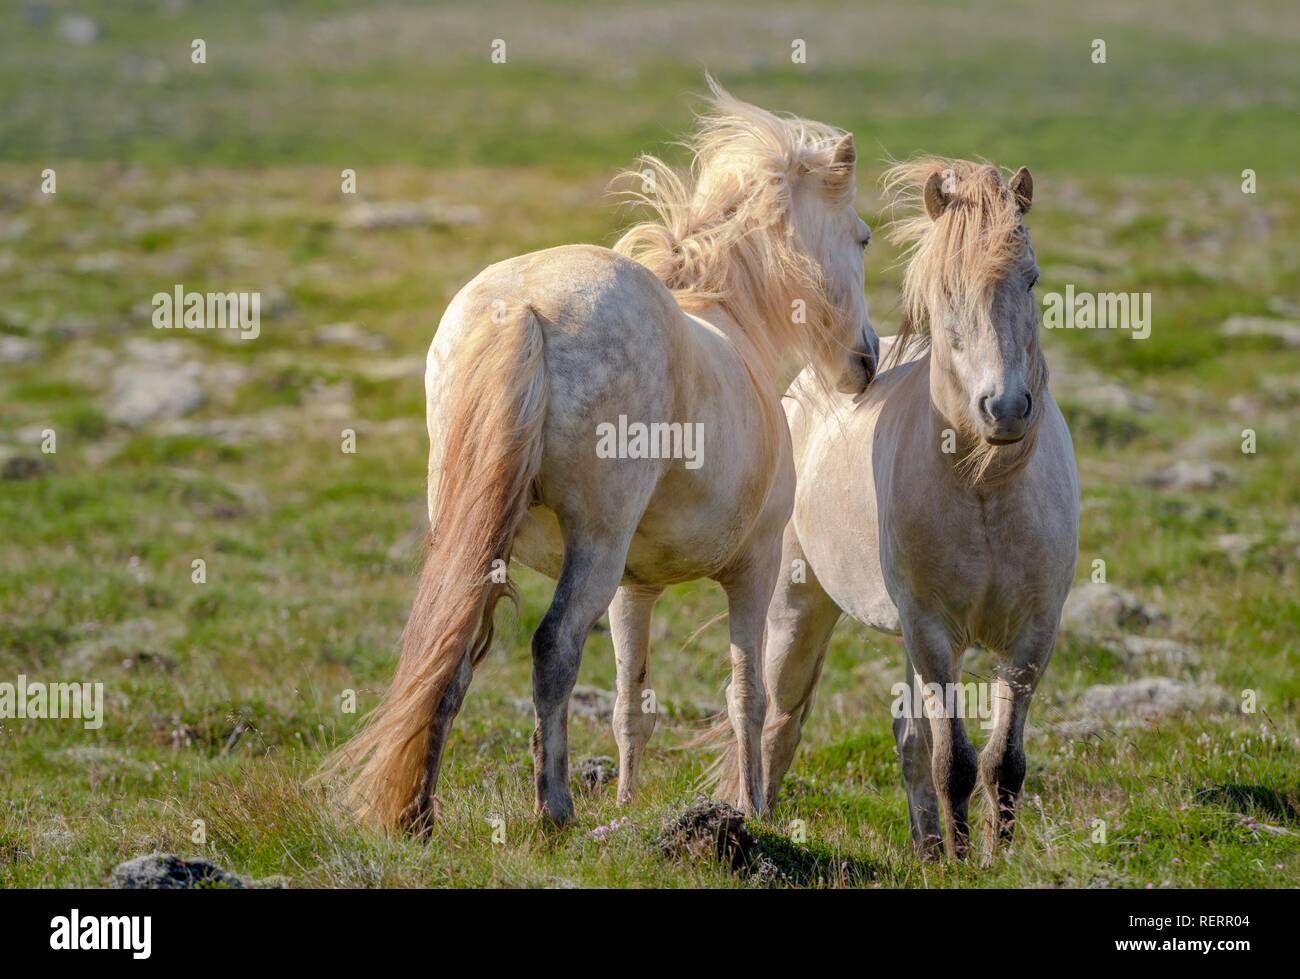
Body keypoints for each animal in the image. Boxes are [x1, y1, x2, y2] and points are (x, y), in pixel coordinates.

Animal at [323, 80, 880, 831]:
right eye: (862, 238)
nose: (866, 361)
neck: (723, 314)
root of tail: (522, 307)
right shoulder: (754, 566)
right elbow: (747, 697)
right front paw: (754, 808)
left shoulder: (633, 588)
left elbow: (630, 703)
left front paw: (627, 802)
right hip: (595, 543)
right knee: (552, 647)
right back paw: (553, 808)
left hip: (487, 546)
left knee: (452, 648)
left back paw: (419, 815)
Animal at [707, 158, 1079, 859]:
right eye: (947, 292)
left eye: (1032, 280)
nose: (1006, 409)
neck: (985, 491)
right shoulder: (931, 632)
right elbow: (953, 761)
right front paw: (964, 862)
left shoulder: (1032, 638)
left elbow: (1002, 763)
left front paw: (987, 854)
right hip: (798, 611)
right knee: (780, 722)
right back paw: (759, 823)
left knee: (908, 741)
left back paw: (928, 847)